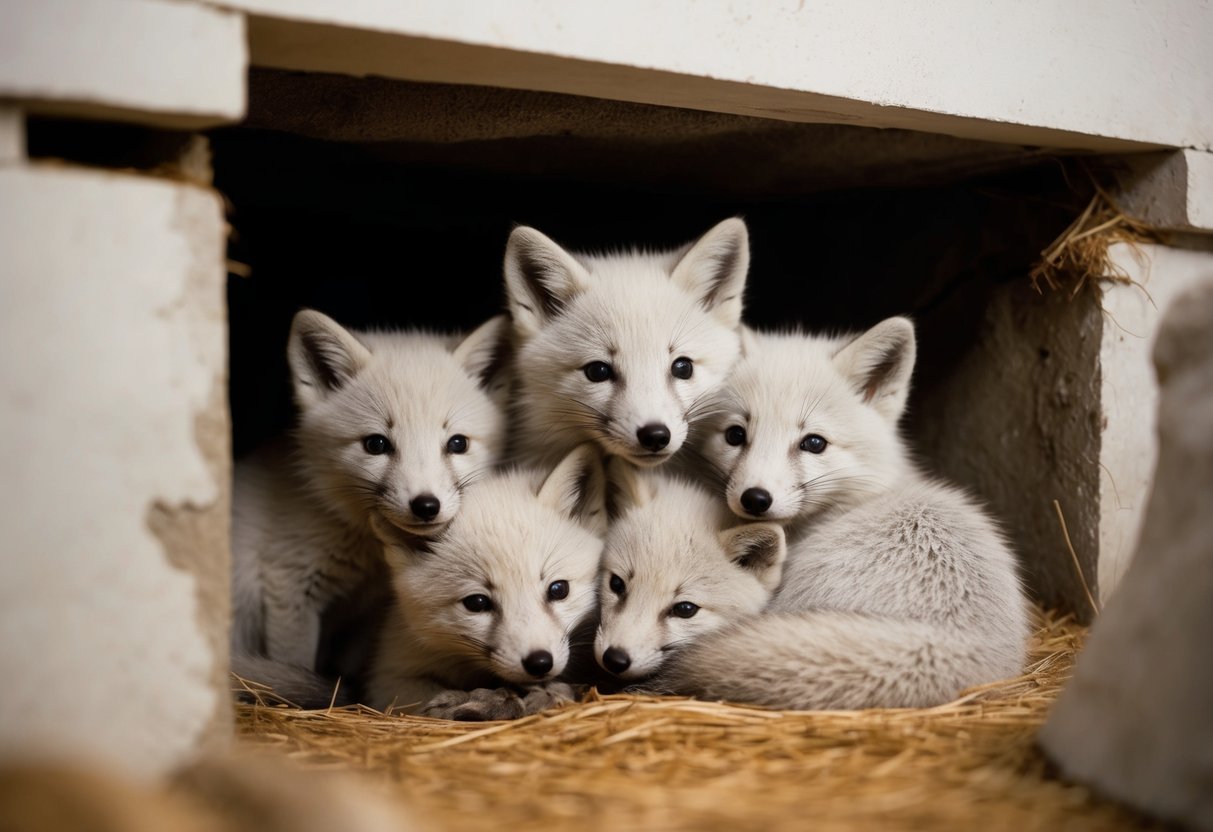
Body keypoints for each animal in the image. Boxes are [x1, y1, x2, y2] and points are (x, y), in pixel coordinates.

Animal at [231, 309, 508, 681]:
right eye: (376, 444)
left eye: (457, 443)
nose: (426, 506)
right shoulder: (288, 581)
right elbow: (294, 662)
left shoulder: (369, 611)